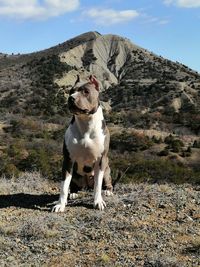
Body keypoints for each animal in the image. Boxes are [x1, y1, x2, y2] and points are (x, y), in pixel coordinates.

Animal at [52, 75, 112, 214]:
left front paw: (98, 201)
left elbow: (98, 185)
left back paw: (107, 191)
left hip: (107, 170)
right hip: (75, 174)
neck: (86, 123)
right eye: (71, 91)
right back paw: (74, 192)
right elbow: (64, 186)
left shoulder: (101, 160)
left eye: (86, 91)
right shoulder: (68, 160)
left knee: (105, 183)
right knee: (73, 185)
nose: (71, 98)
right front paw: (60, 204)